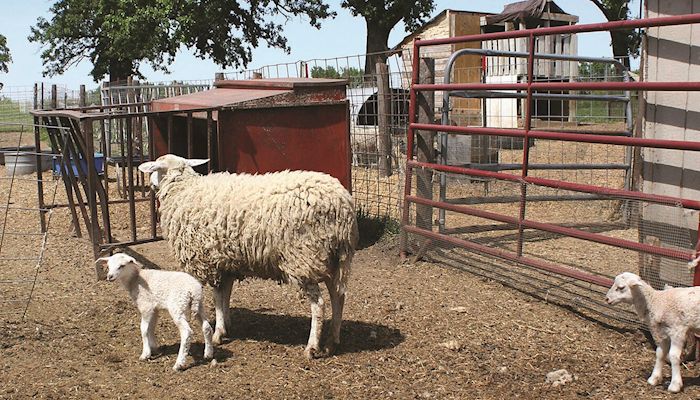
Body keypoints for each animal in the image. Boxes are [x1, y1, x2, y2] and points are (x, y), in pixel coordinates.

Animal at [137, 154, 358, 360]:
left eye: (155, 168)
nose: (150, 185)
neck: (183, 190)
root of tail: (342, 205)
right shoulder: (225, 262)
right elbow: (225, 295)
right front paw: (226, 325)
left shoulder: (211, 261)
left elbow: (217, 297)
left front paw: (218, 332)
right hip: (332, 259)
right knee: (338, 296)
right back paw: (332, 342)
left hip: (304, 258)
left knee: (319, 304)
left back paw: (312, 347)